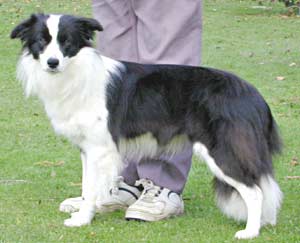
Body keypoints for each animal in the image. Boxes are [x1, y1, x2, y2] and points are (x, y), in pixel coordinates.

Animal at [11, 13, 282, 239]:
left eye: (66, 42)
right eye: (41, 41)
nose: (52, 62)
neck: (76, 73)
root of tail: (253, 95)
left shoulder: (99, 148)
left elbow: (91, 185)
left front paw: (82, 220)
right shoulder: (88, 148)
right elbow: (89, 185)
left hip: (223, 151)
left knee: (254, 191)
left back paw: (250, 231)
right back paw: (265, 222)